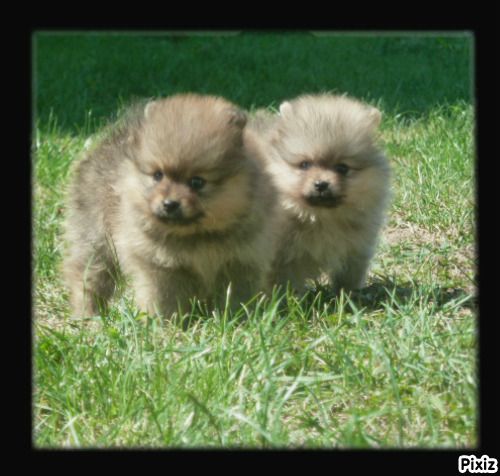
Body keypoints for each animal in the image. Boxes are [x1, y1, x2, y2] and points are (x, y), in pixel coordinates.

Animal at [62, 93, 278, 318]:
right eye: (158, 175)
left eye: (197, 182)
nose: (169, 204)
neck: (198, 236)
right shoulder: (160, 264)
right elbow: (164, 299)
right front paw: (163, 322)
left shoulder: (242, 260)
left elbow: (236, 296)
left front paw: (236, 319)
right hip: (95, 235)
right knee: (89, 274)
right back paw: (88, 315)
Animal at [250, 93, 390, 294]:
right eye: (305, 164)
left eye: (342, 168)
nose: (321, 184)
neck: (320, 217)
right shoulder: (279, 256)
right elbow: (279, 281)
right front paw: (282, 300)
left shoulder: (357, 248)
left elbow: (349, 276)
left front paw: (350, 296)